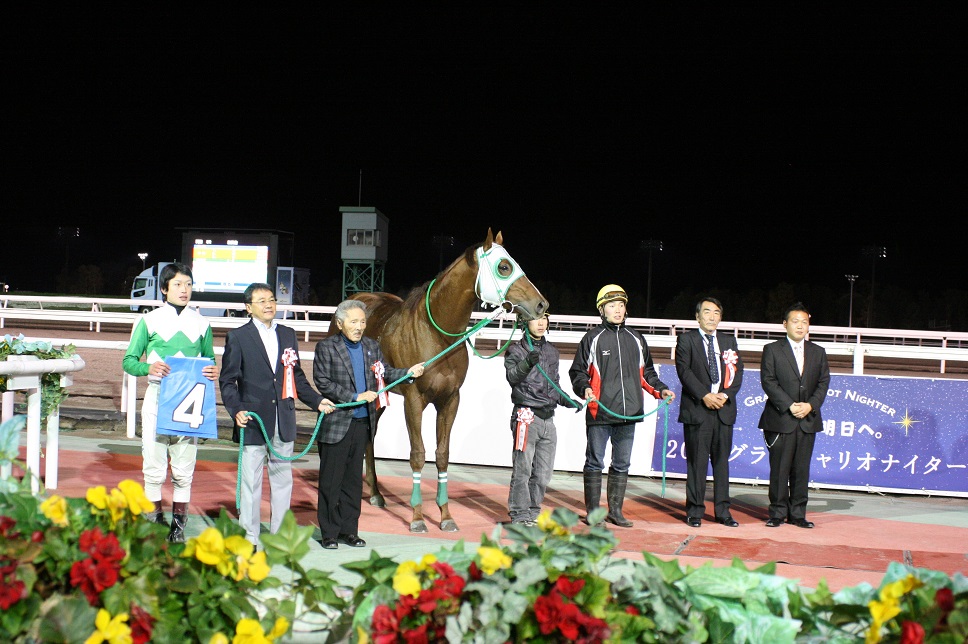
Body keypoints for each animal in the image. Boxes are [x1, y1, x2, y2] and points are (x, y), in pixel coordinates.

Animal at [334, 229, 544, 532]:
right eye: (504, 267)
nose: (541, 304)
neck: (437, 336)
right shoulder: (414, 400)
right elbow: (418, 454)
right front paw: (417, 518)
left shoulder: (450, 399)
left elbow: (442, 454)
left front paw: (445, 516)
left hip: (377, 396)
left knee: (369, 437)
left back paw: (375, 494)